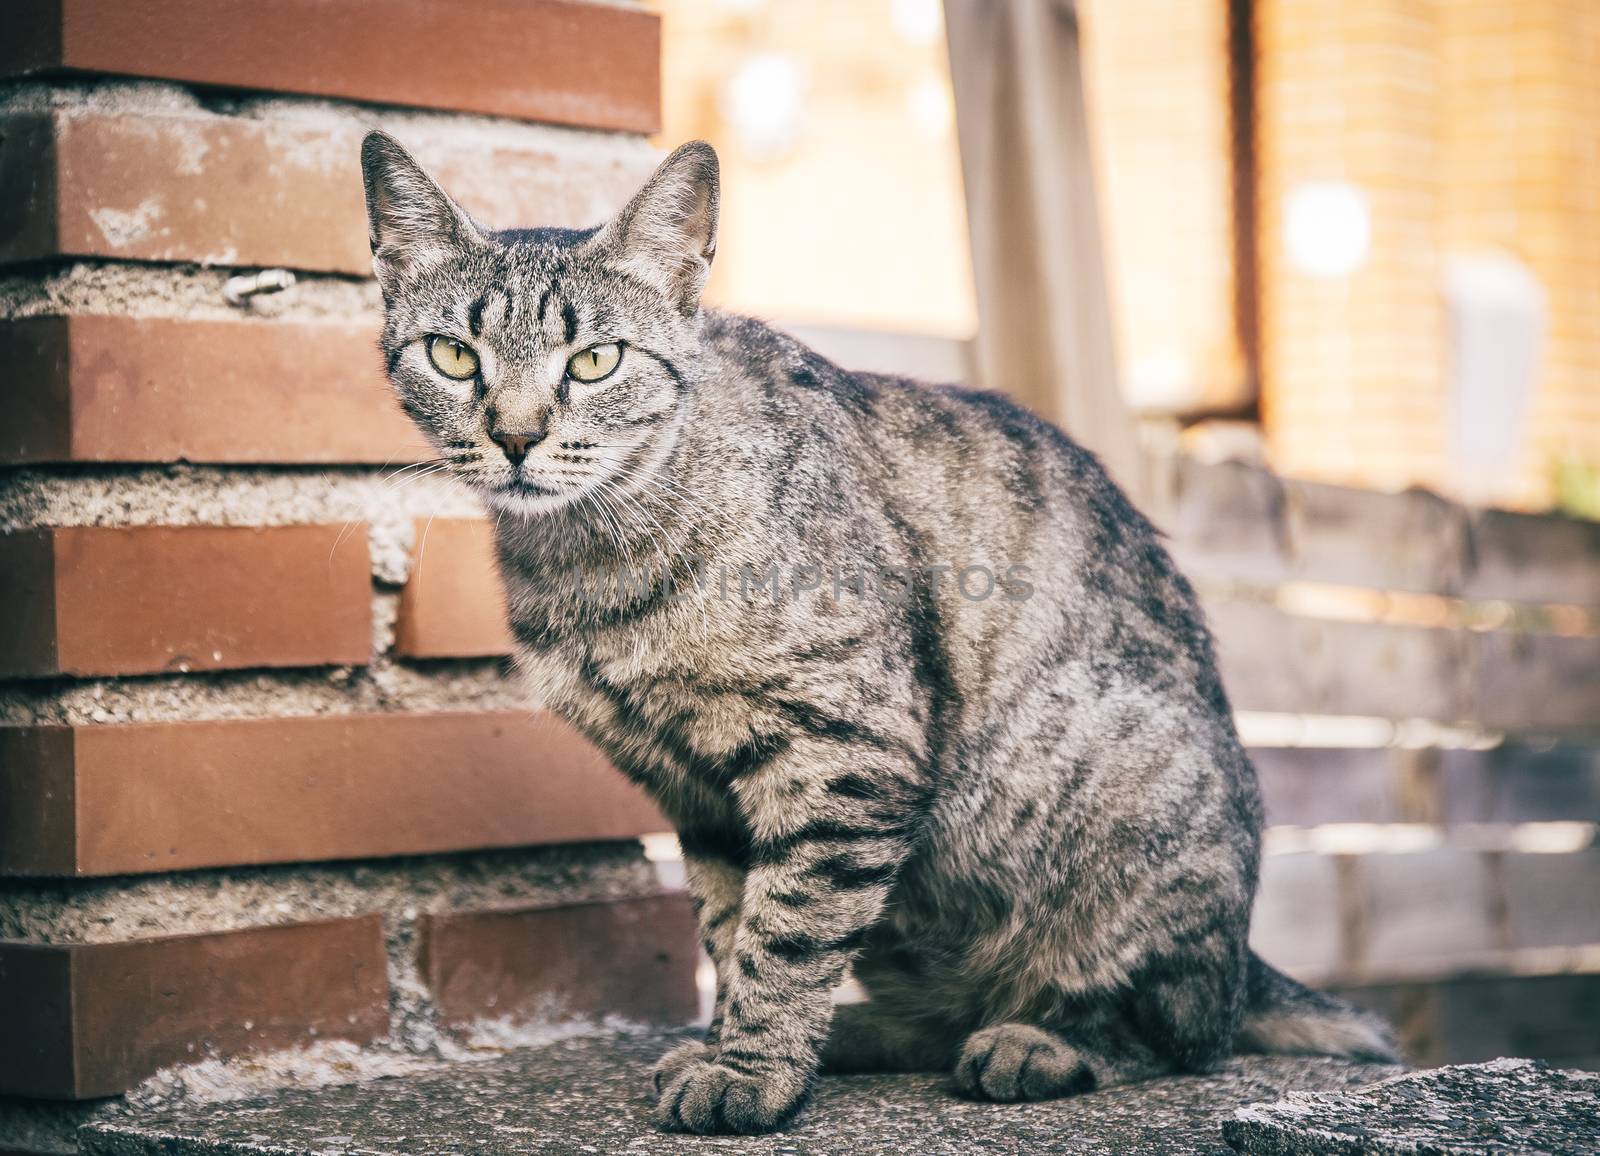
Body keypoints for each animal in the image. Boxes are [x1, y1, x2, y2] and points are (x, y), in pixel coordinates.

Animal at [360, 135, 1388, 1133]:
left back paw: (1038, 1043)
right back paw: (863, 1033)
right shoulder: (696, 792)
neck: (591, 558)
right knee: (953, 1017)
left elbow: (789, 931)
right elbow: (733, 927)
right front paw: (735, 1045)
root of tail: (1246, 955)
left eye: (595, 362)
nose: (516, 436)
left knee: (1176, 1030)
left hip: (1138, 800)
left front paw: (751, 1073)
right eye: (453, 356)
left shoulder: (845, 752)